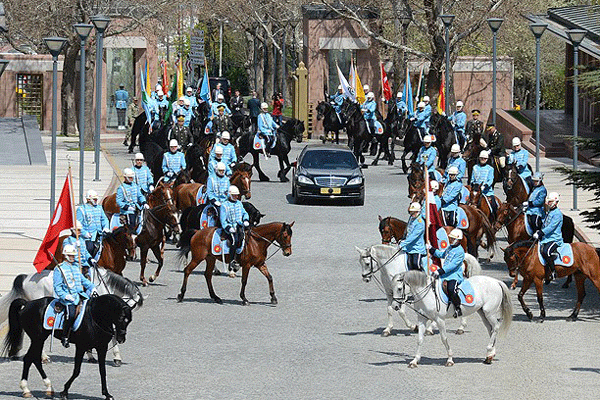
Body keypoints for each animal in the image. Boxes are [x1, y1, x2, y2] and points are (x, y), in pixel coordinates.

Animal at [0, 266, 143, 366]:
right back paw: (43, 357)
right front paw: (116, 358)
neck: (101, 288)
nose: (122, 338)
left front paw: (91, 355)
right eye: (124, 315)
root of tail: (25, 277)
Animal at [2, 294, 134, 400]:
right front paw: (64, 392)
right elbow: (76, 371)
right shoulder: (81, 347)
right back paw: (27, 389)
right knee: (29, 358)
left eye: (129, 321)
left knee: (33, 359)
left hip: (39, 339)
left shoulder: (102, 348)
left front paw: (107, 394)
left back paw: (47, 388)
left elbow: (103, 371)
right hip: (37, 339)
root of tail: (28, 304)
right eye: (121, 318)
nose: (121, 339)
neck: (94, 317)